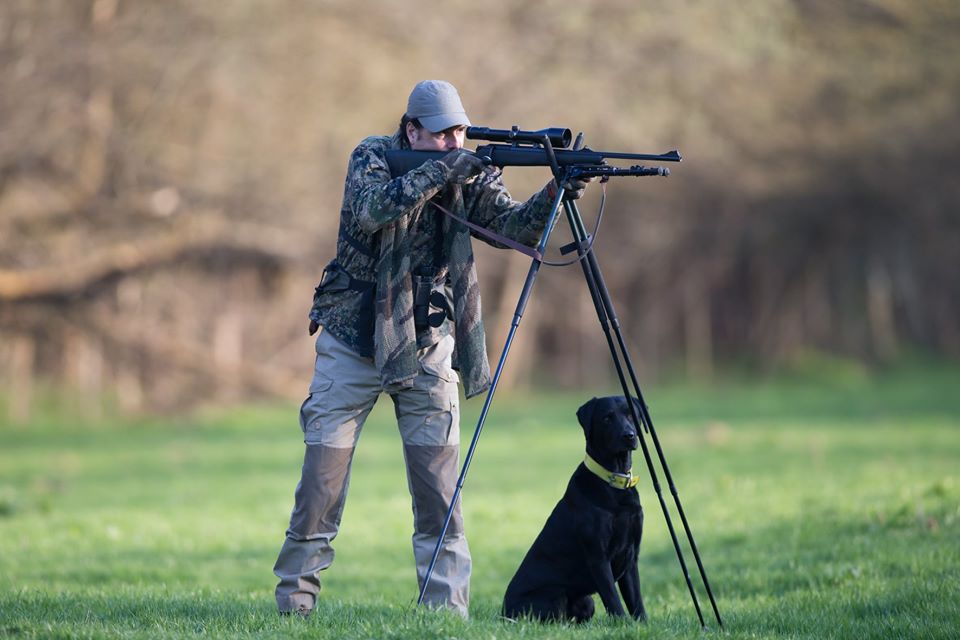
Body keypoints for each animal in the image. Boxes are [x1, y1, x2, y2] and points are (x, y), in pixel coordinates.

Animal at [502, 398, 644, 624]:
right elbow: (614, 600)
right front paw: (622, 625)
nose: (628, 435)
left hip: (587, 601)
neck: (613, 483)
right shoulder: (598, 558)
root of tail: (503, 613)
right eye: (607, 418)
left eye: (631, 414)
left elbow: (636, 601)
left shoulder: (631, 556)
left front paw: (643, 625)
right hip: (554, 596)